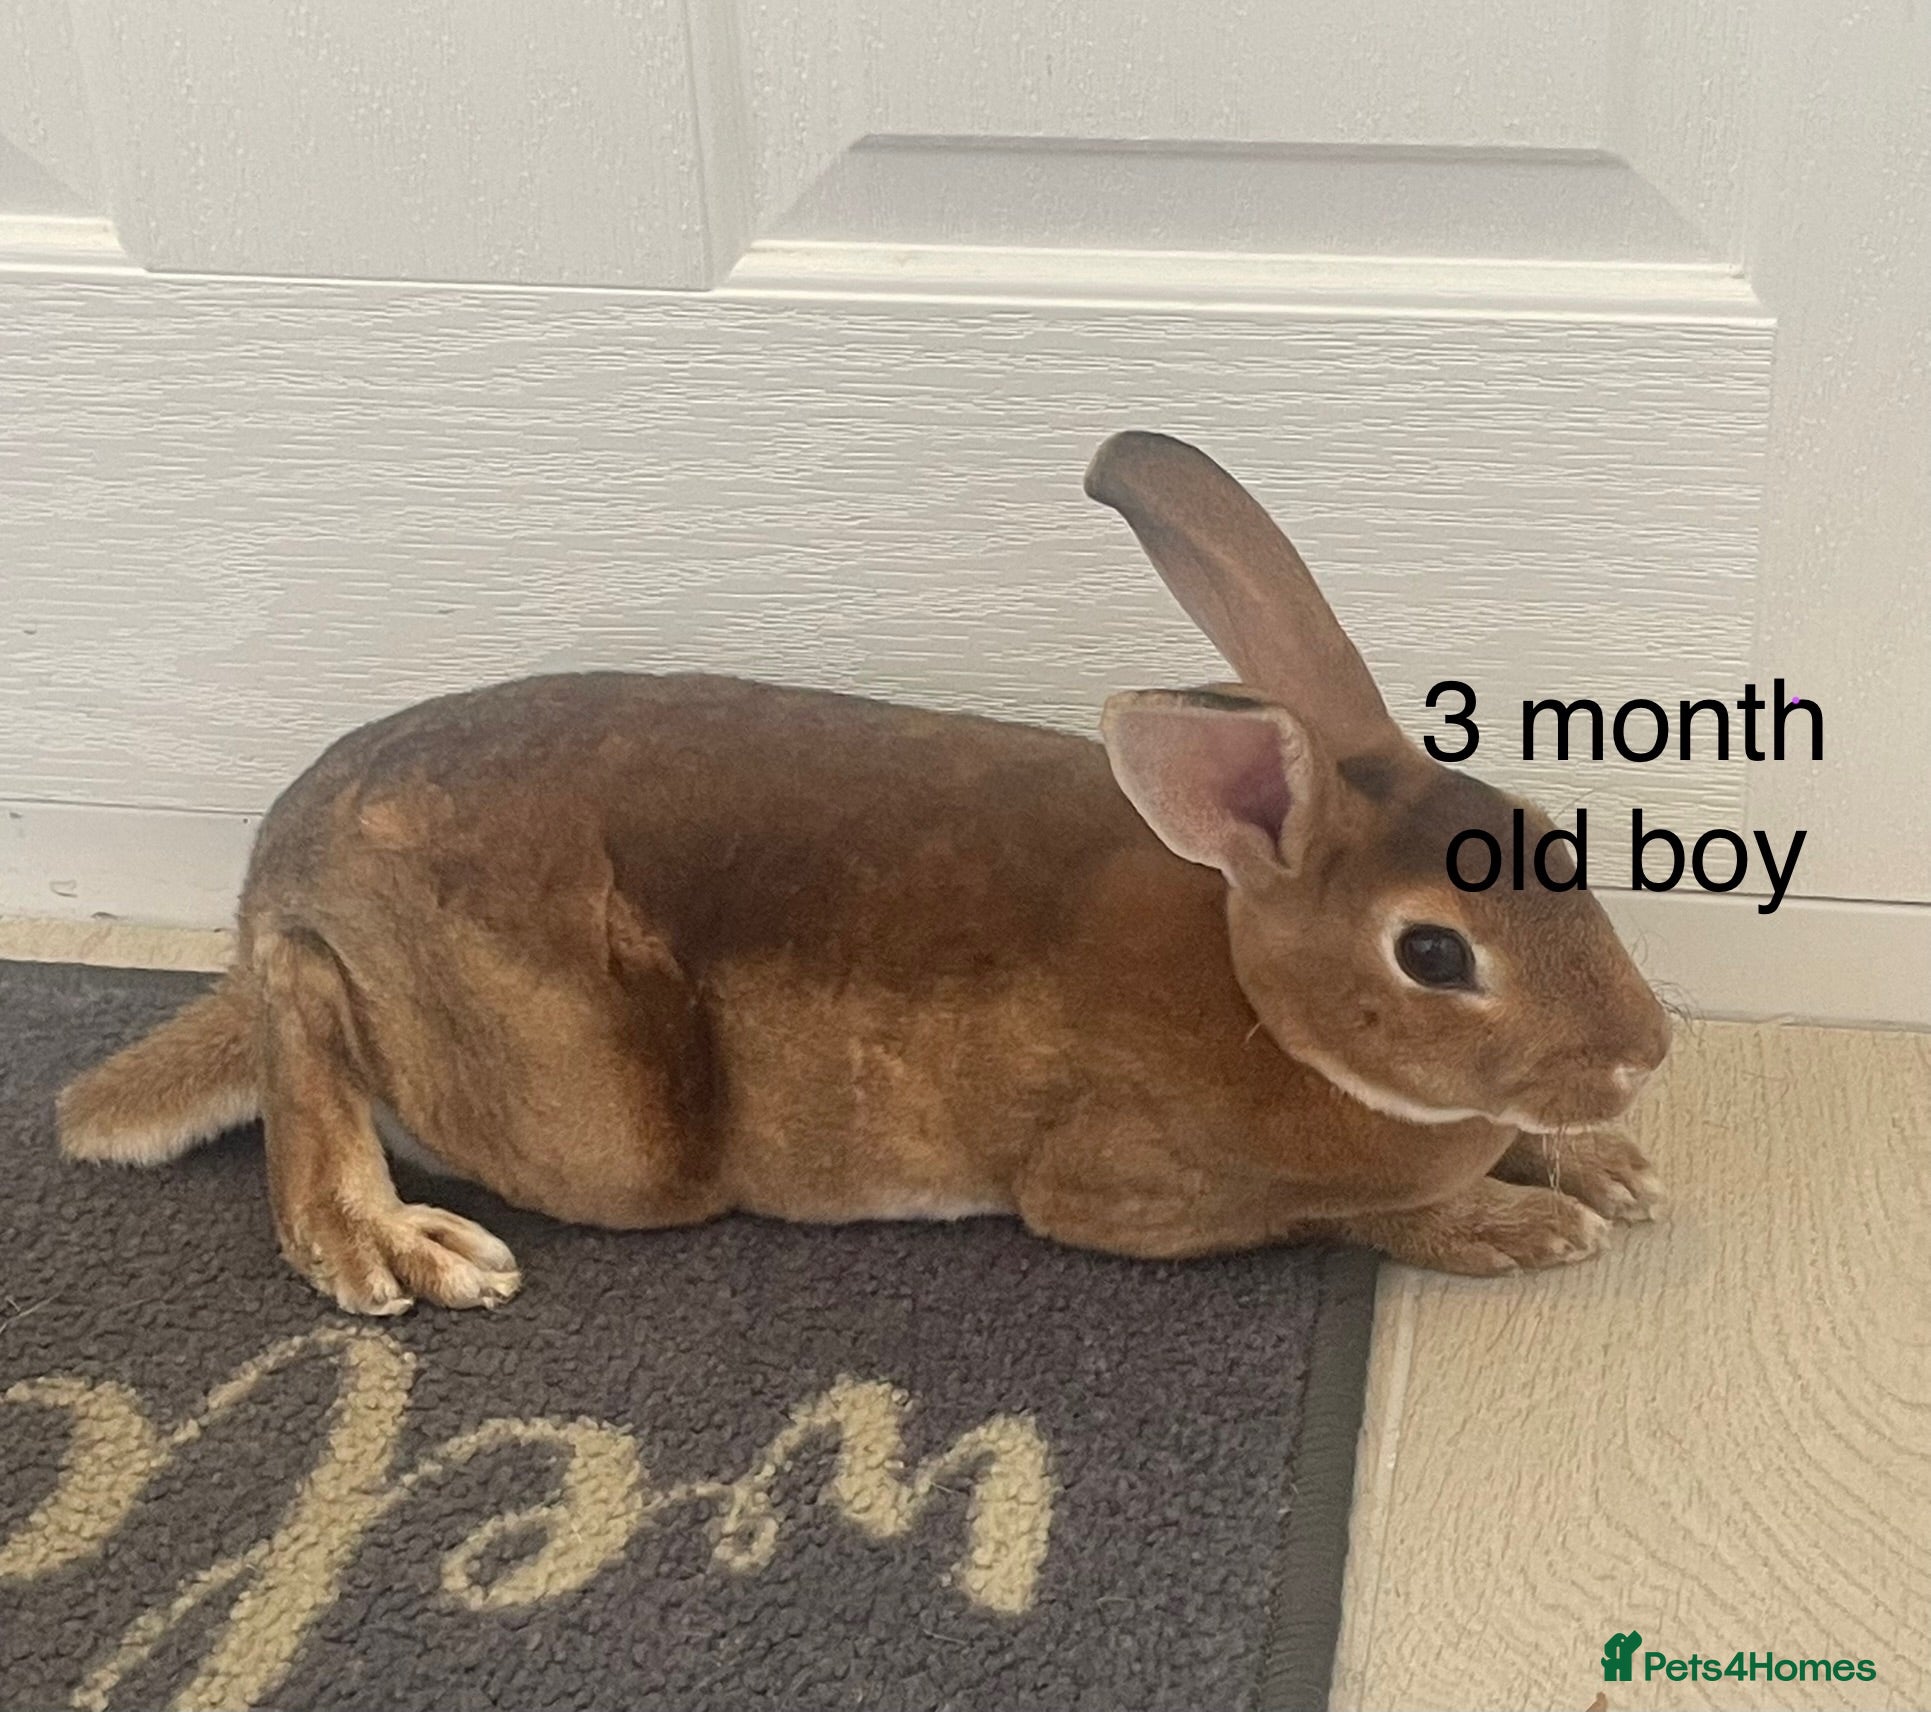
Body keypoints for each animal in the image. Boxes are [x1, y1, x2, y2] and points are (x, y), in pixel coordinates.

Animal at [57, 432, 1671, 1315]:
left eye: (1548, 838)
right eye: (1432, 953)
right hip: (594, 1117)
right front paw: (1521, 1223)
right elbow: (1333, 1214)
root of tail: (285, 858)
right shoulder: (1122, 1191)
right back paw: (390, 1240)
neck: (1264, 998)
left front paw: (1602, 1167)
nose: (1644, 1052)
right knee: (308, 1000)